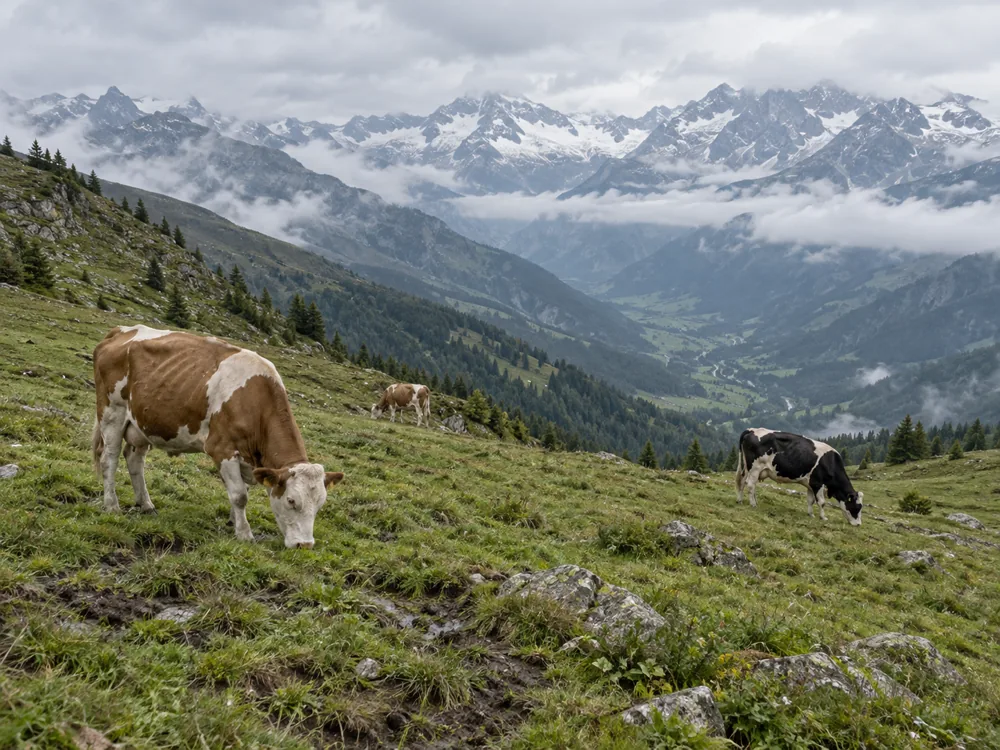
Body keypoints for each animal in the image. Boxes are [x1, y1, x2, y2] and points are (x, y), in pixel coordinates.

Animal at [92, 325, 344, 548]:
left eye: (320, 504)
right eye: (291, 500)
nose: (305, 545)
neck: (255, 401)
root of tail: (121, 330)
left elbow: (242, 490)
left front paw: (233, 521)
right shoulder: (222, 448)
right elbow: (240, 495)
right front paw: (244, 534)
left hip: (141, 424)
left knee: (135, 460)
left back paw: (146, 504)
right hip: (112, 412)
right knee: (109, 459)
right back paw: (112, 505)